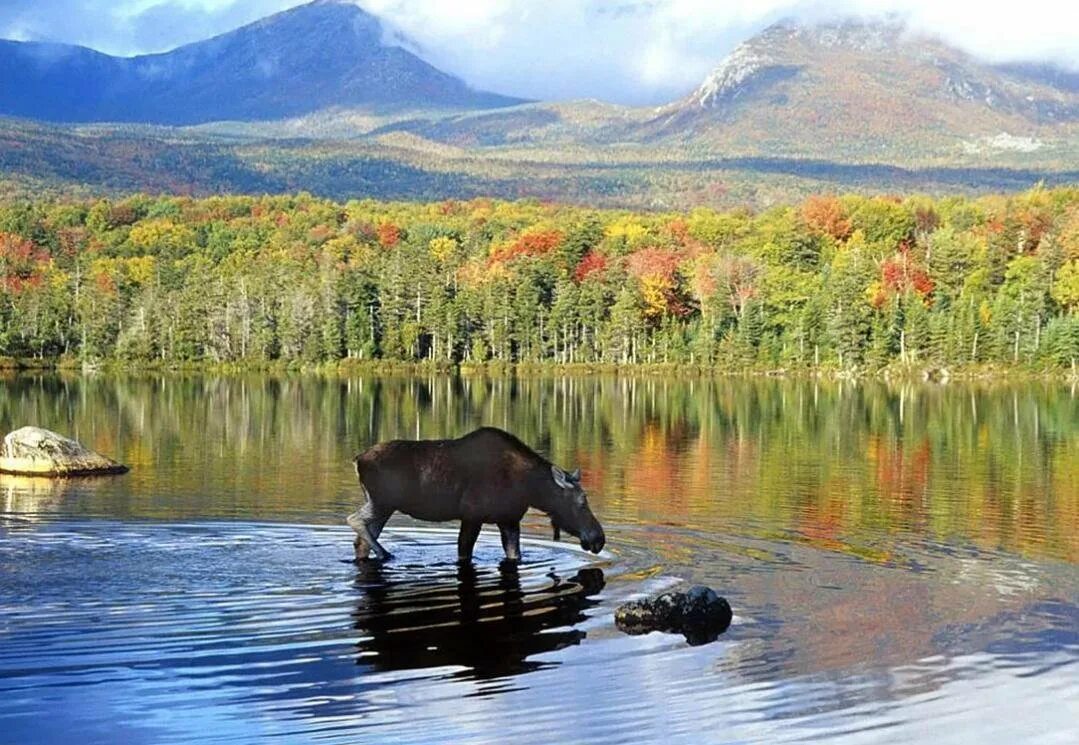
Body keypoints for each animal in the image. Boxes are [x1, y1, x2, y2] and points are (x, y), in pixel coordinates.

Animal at [345, 427, 604, 561]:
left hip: (382, 506)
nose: (599, 538)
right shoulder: (472, 515)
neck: (530, 490)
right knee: (354, 520)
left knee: (361, 541)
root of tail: (357, 460)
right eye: (582, 502)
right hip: (383, 502)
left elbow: (514, 554)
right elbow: (464, 552)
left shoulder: (509, 520)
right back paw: (386, 553)